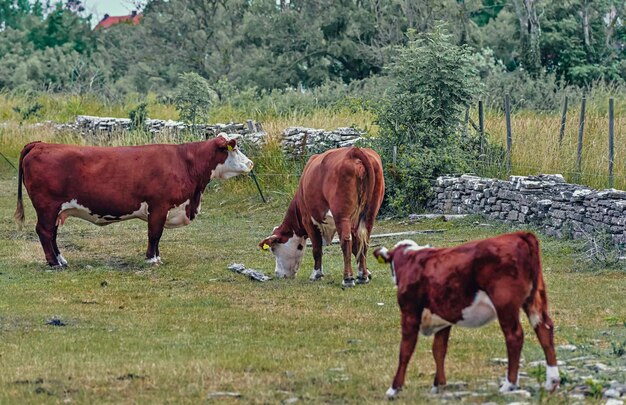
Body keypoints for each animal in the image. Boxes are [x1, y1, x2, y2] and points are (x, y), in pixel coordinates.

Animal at [12, 133, 251, 266]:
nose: (251, 163)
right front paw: (152, 259)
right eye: (234, 148)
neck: (185, 163)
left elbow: (157, 236)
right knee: (44, 232)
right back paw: (54, 263)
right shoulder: (159, 206)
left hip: (55, 209)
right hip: (47, 206)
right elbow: (154, 234)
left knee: (51, 233)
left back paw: (61, 259)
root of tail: (41, 144)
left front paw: (157, 257)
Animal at [256, 147, 382, 286]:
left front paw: (316, 274)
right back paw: (362, 276)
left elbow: (317, 248)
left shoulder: (308, 220)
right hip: (369, 213)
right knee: (364, 241)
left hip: (342, 216)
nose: (277, 273)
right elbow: (356, 246)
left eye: (273, 249)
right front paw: (366, 273)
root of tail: (354, 150)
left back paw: (348, 279)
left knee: (346, 242)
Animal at [372, 230, 560, 398]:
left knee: (515, 336)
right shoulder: (443, 316)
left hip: (505, 303)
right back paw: (552, 382)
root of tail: (518, 234)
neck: (410, 260)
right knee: (544, 328)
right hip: (534, 298)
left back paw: (509, 385)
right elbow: (439, 350)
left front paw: (394, 389)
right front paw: (438, 385)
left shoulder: (410, 311)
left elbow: (405, 350)